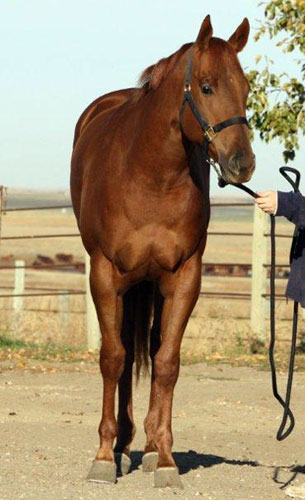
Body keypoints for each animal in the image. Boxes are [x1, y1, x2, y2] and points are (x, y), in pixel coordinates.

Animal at [70, 14, 254, 488]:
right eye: (206, 87)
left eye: (246, 88)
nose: (242, 164)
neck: (151, 176)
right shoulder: (105, 275)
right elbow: (113, 357)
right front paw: (103, 457)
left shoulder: (185, 276)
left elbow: (167, 362)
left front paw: (167, 460)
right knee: (124, 354)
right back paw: (121, 446)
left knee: (151, 350)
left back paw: (149, 447)